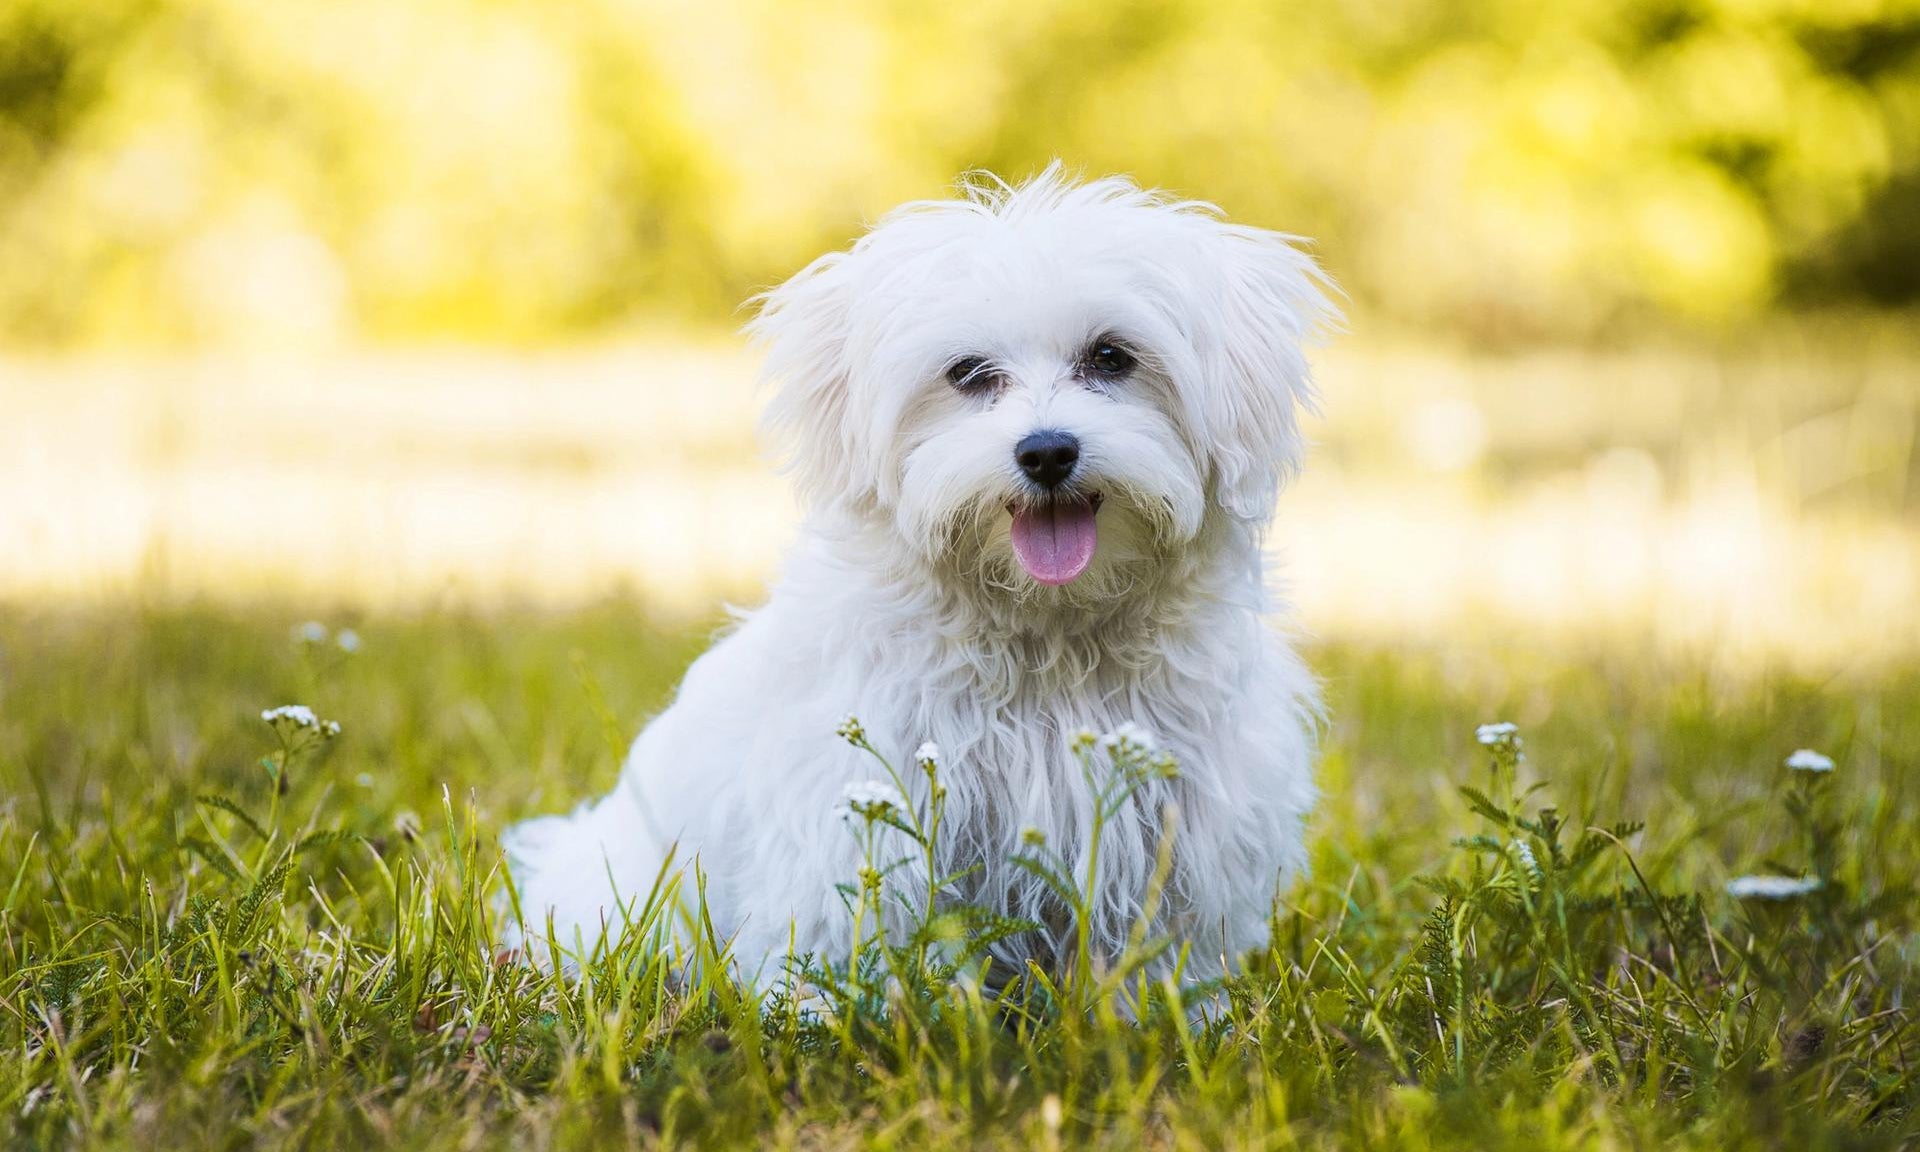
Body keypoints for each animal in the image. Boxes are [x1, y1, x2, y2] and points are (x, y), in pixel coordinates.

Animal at [506, 166, 1336, 983]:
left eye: (1111, 357)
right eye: (967, 373)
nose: (1046, 451)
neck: (1048, 636)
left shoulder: (1183, 830)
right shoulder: (858, 811)